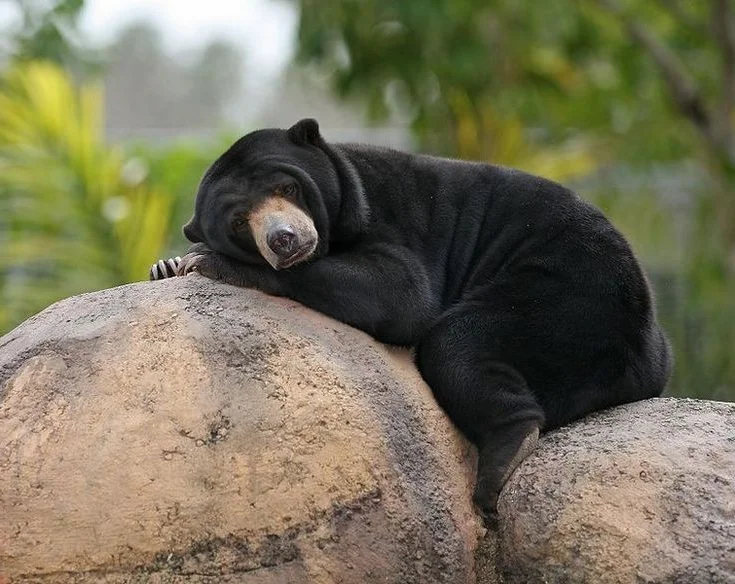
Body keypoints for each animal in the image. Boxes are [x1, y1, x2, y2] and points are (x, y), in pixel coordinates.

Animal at [151, 118, 672, 524]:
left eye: (287, 188)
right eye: (240, 221)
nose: (283, 239)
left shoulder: (389, 218)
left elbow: (403, 295)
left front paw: (207, 262)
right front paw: (167, 265)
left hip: (569, 295)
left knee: (457, 343)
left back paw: (503, 460)